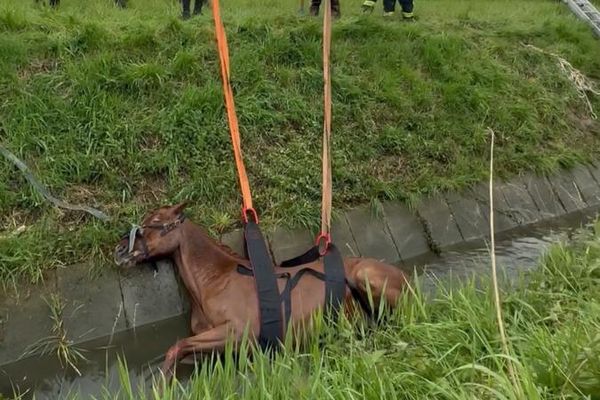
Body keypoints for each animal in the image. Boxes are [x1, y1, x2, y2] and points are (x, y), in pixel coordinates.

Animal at [113, 205, 408, 374]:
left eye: (154, 220)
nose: (119, 249)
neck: (215, 279)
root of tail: (404, 276)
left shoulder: (238, 333)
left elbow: (176, 347)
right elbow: (179, 352)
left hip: (366, 276)